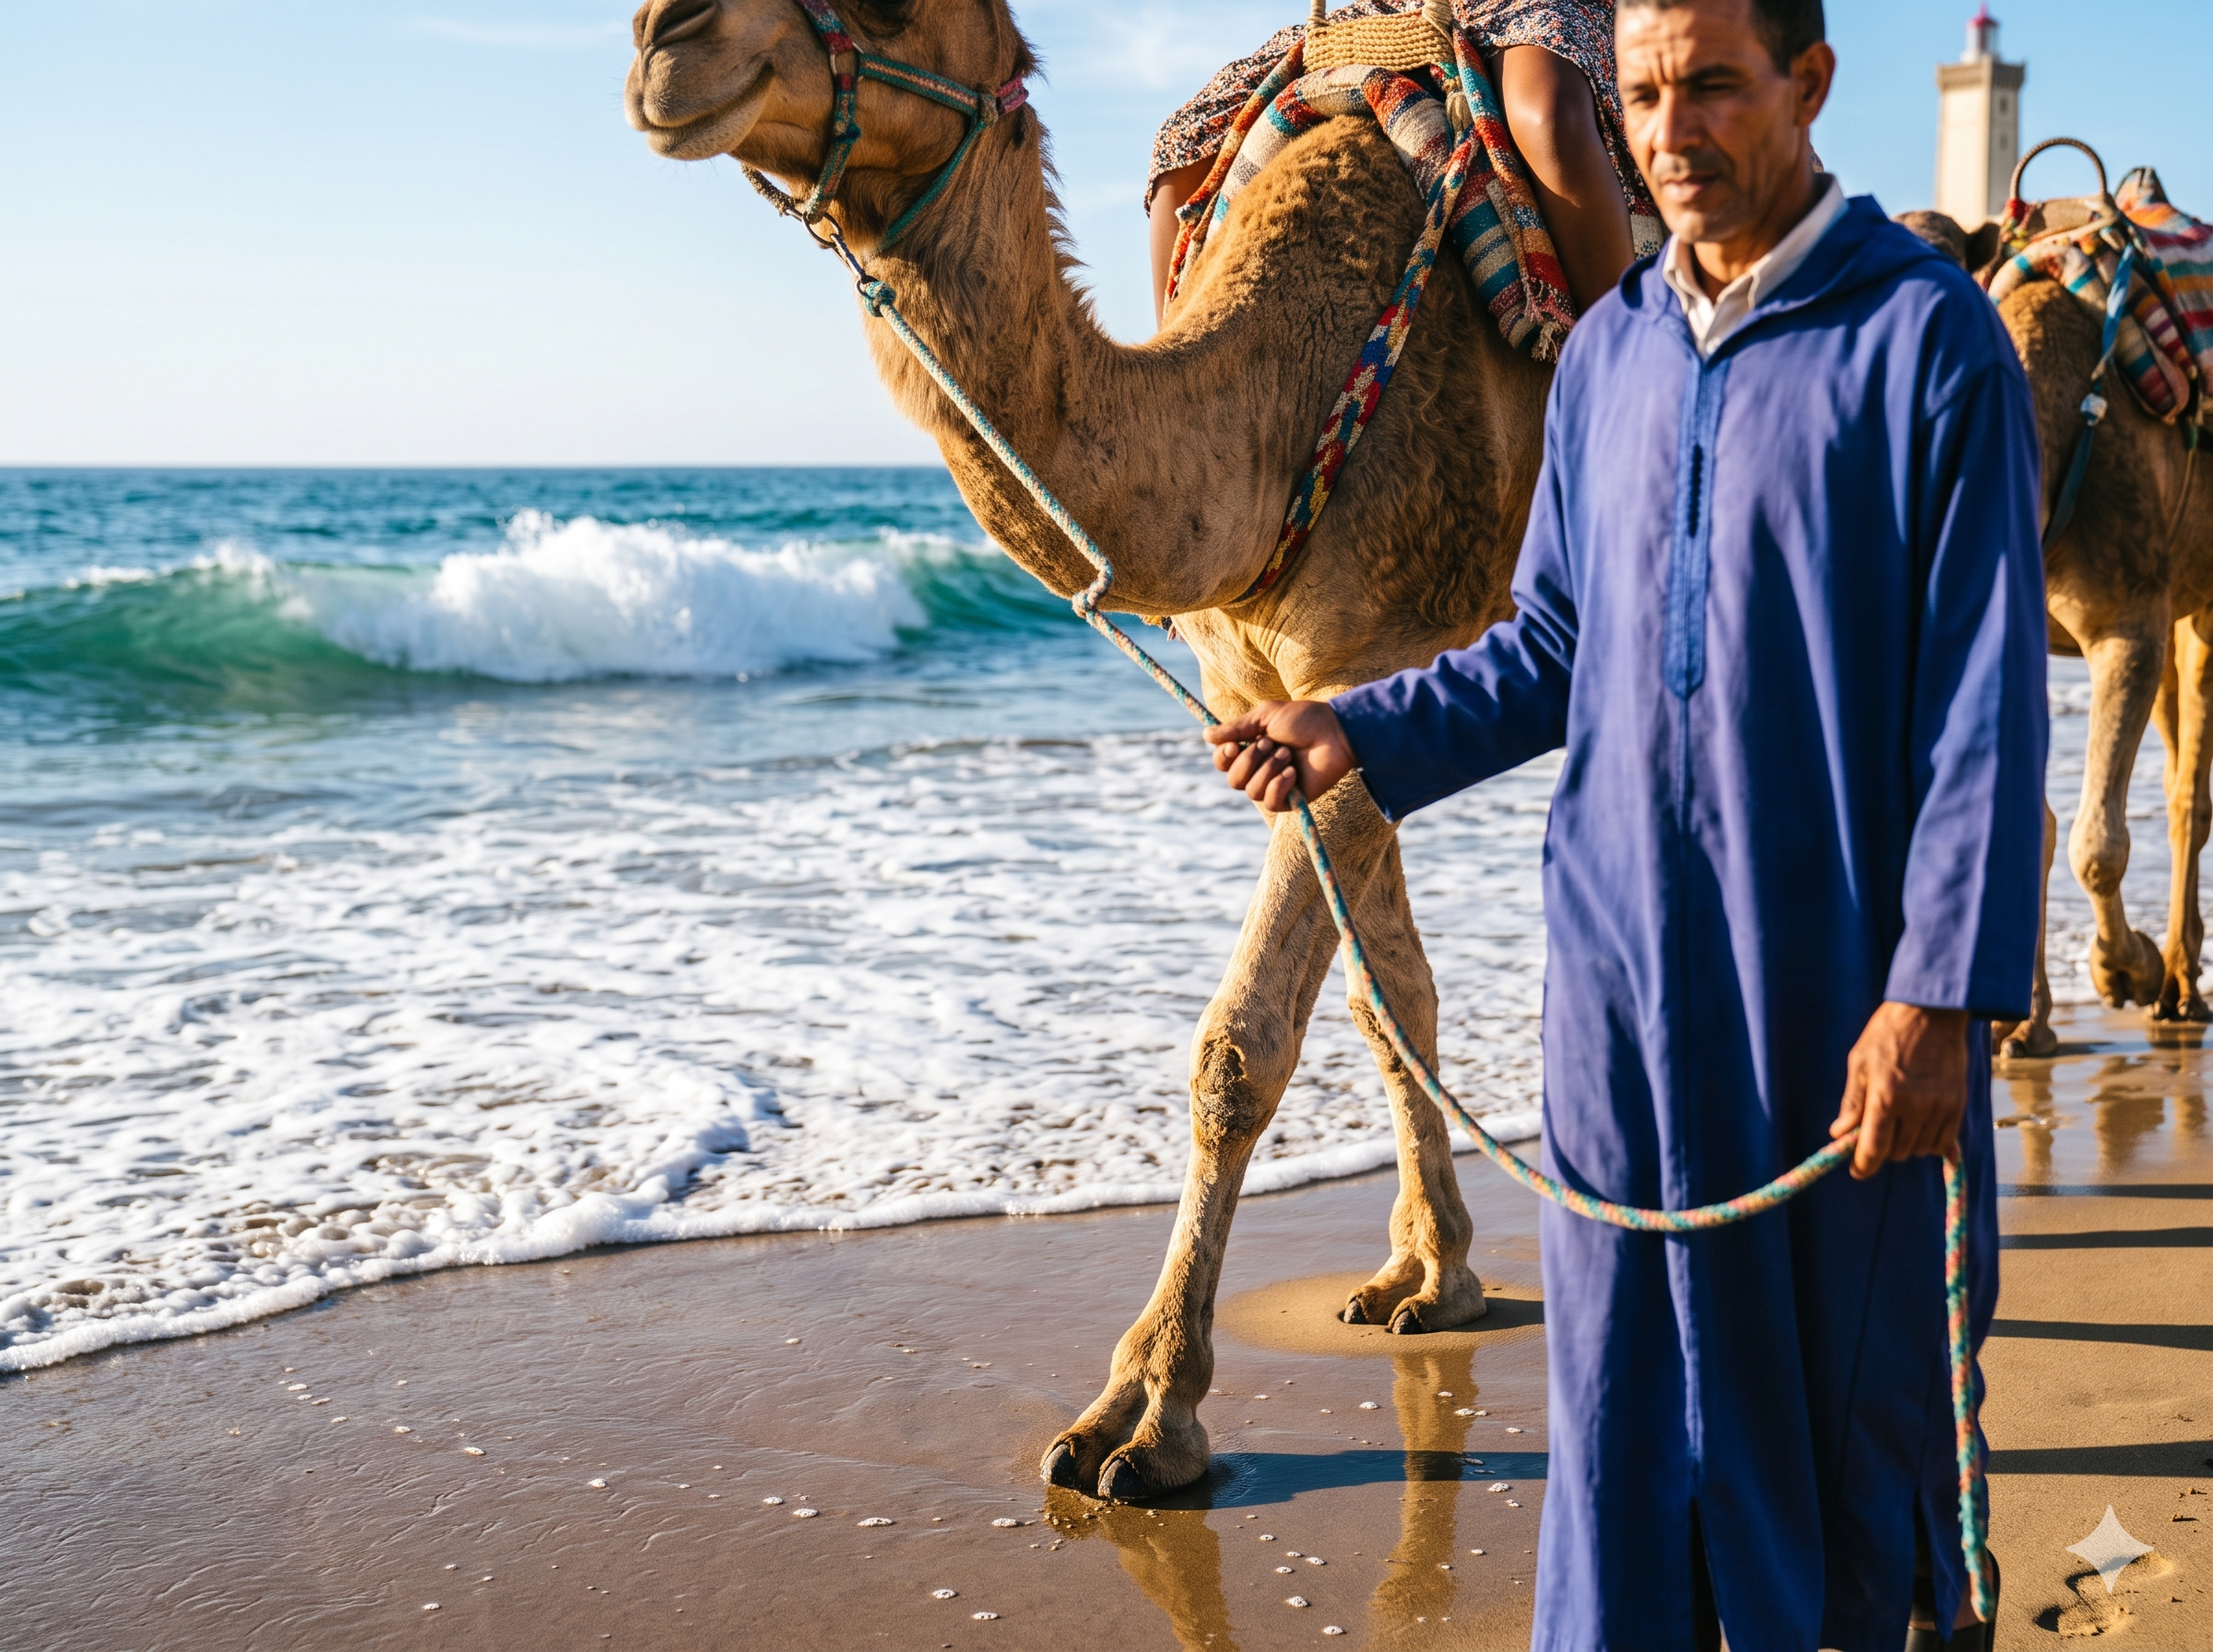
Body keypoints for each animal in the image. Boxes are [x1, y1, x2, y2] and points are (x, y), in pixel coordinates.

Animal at [627, 0, 1552, 1500]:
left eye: (895, 5)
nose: (666, 39)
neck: (1279, 405)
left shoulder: (1371, 665)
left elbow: (1241, 1049)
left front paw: (1146, 1415)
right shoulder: (1281, 694)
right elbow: (1387, 1002)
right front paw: (1434, 1278)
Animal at [1900, 205, 2213, 1058]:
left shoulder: (2127, 623)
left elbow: (2096, 845)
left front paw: (2123, 968)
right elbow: (2026, 824)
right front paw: (2020, 1021)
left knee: (2188, 793)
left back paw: (2177, 987)